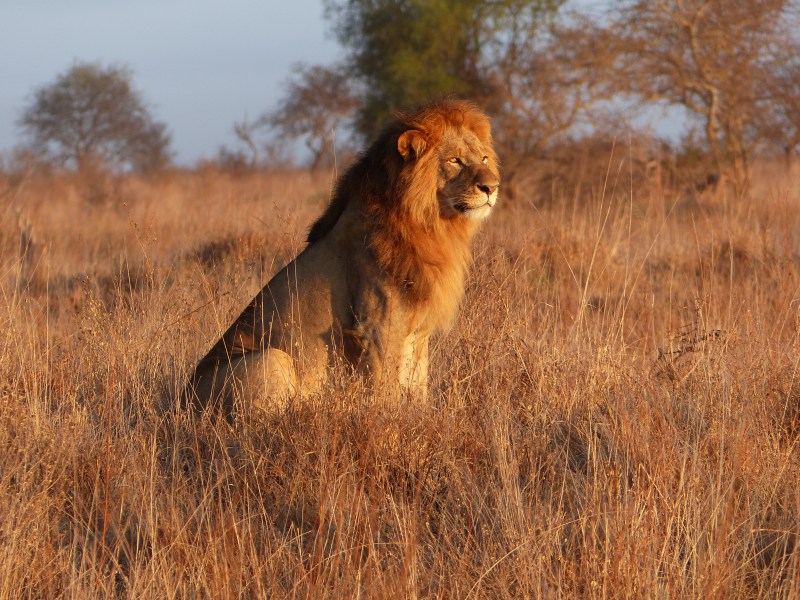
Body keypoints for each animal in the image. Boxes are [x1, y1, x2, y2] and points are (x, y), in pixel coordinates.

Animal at [184, 99, 500, 416]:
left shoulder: (419, 334)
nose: (492, 187)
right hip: (272, 357)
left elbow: (417, 385)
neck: (431, 227)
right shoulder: (377, 328)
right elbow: (386, 391)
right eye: (455, 160)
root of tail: (182, 398)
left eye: (484, 159)